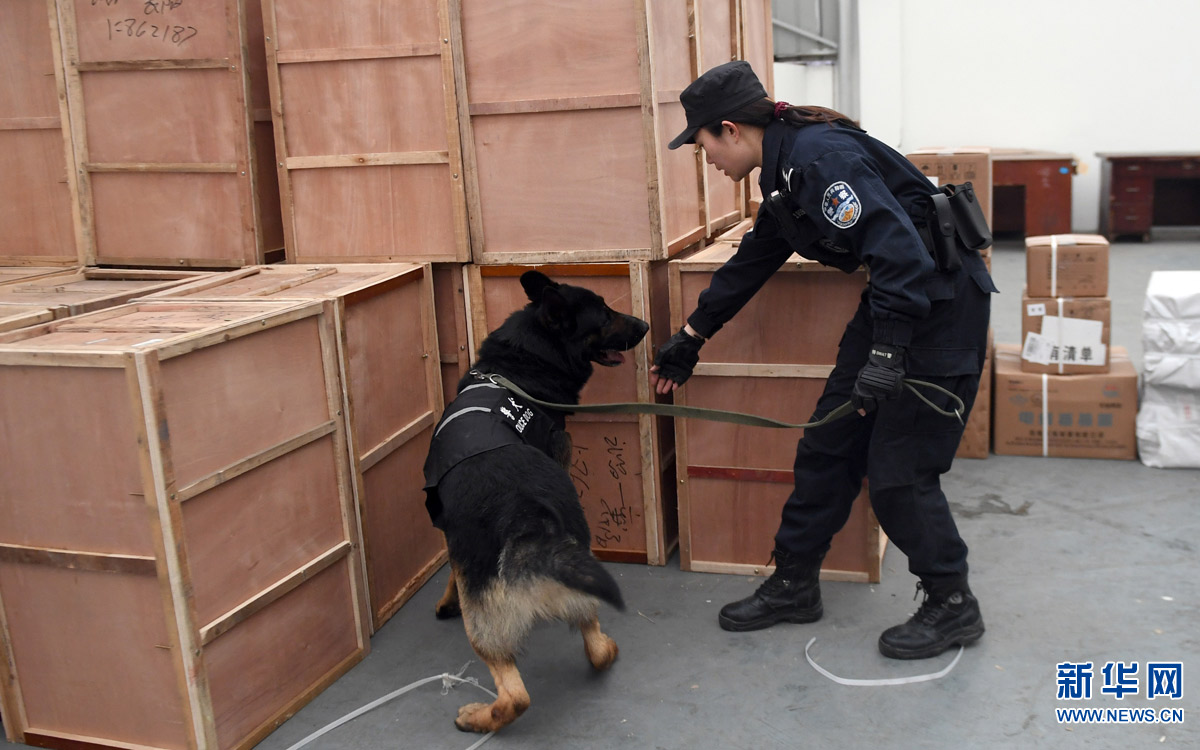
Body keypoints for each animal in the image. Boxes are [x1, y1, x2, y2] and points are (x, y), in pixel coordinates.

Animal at [422, 270, 649, 733]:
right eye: (605, 314)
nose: (645, 326)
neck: (518, 364)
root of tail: (527, 515)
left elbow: (452, 567)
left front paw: (448, 598)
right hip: (577, 574)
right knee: (596, 650)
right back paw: (607, 646)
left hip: (485, 625)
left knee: (516, 696)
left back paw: (478, 717)